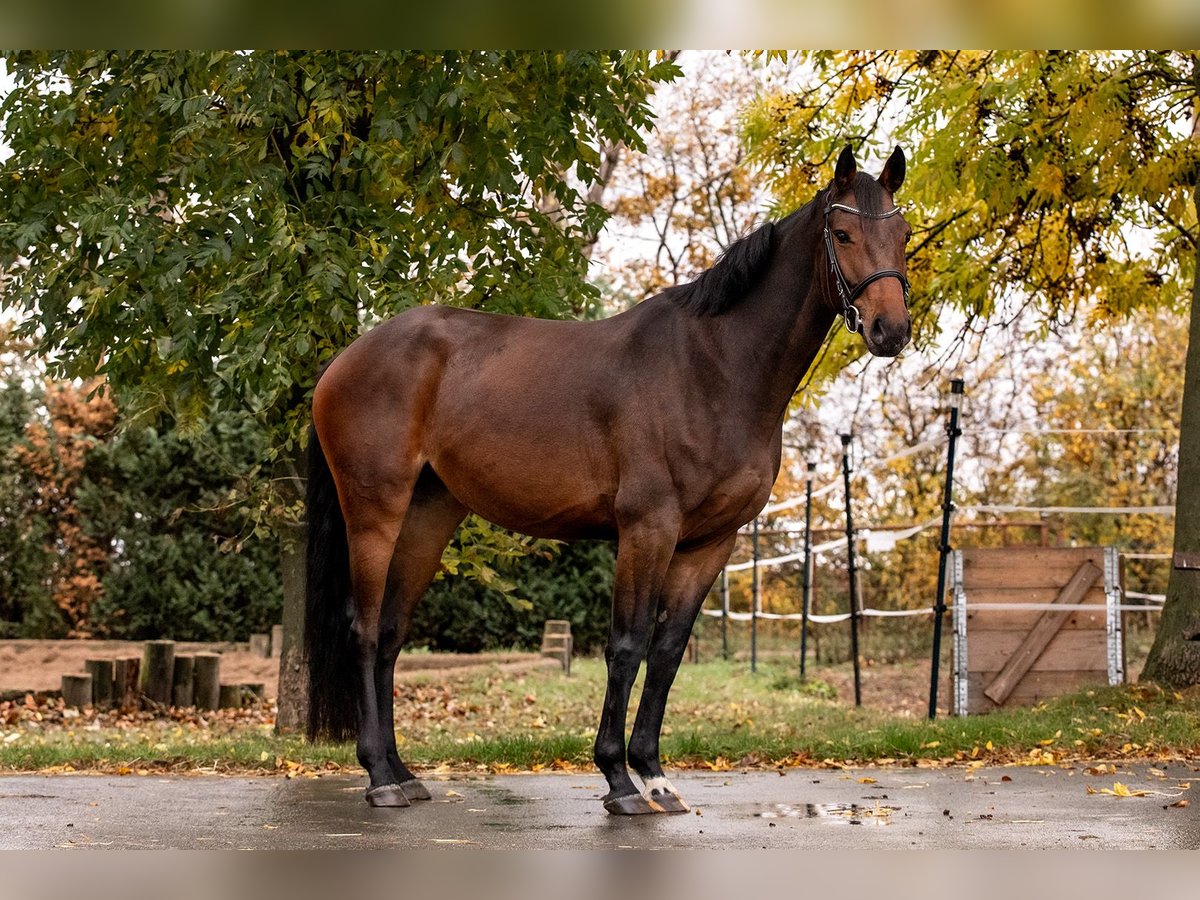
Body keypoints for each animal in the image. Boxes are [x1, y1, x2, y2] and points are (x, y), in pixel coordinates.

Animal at [304, 145, 913, 814]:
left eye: (904, 235)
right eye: (843, 234)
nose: (890, 330)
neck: (713, 367)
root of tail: (344, 360)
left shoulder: (710, 543)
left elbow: (667, 652)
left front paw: (655, 775)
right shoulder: (648, 530)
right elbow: (626, 646)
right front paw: (619, 779)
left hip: (428, 518)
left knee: (390, 634)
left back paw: (401, 770)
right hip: (375, 512)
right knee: (363, 630)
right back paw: (379, 778)